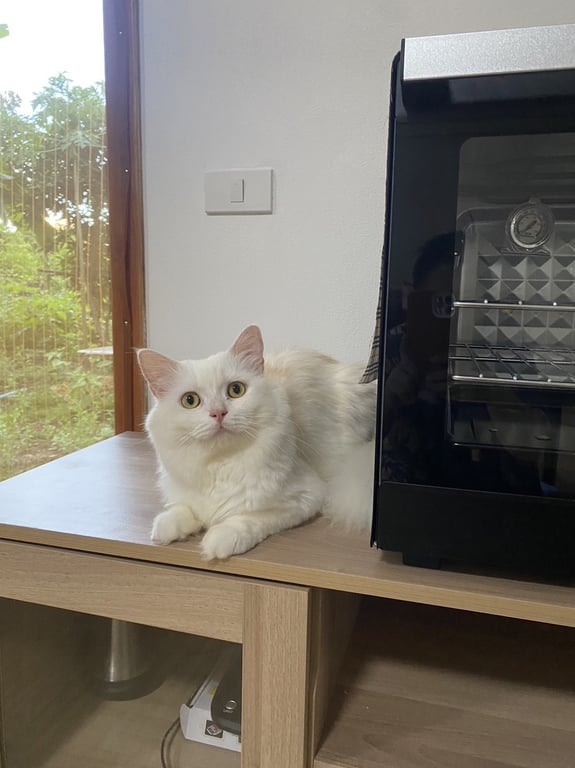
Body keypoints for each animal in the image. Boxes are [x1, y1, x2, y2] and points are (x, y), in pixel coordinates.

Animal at [137, 325, 377, 560]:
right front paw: (166, 527)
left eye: (236, 390)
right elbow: (183, 508)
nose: (218, 413)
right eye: (190, 400)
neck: (221, 464)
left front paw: (219, 539)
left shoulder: (307, 496)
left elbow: (250, 518)